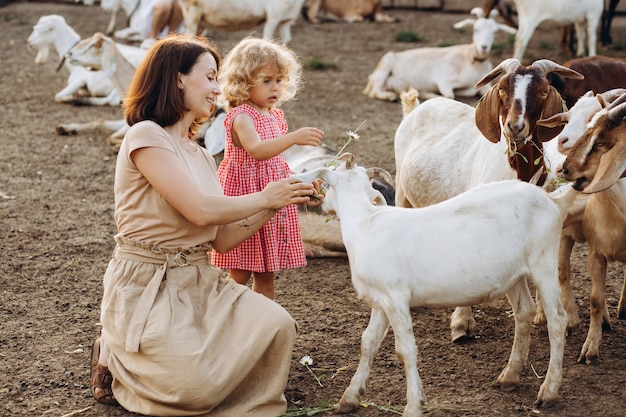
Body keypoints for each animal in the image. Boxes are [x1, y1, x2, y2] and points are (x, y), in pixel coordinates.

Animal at [292, 154, 572, 416]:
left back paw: (549, 391)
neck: (364, 225)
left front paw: (414, 405)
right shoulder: (380, 300)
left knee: (557, 320)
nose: (321, 204)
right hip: (514, 274)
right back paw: (510, 376)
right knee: (524, 311)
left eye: (328, 183)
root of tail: (552, 200)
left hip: (543, 262)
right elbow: (368, 343)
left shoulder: (396, 298)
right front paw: (349, 398)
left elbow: (405, 351)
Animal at [364, 7, 516, 100]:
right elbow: (449, 96)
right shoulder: (444, 80)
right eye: (475, 29)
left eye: (495, 32)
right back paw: (390, 96)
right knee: (374, 92)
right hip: (385, 66)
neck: (471, 61)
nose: (484, 47)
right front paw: (427, 94)